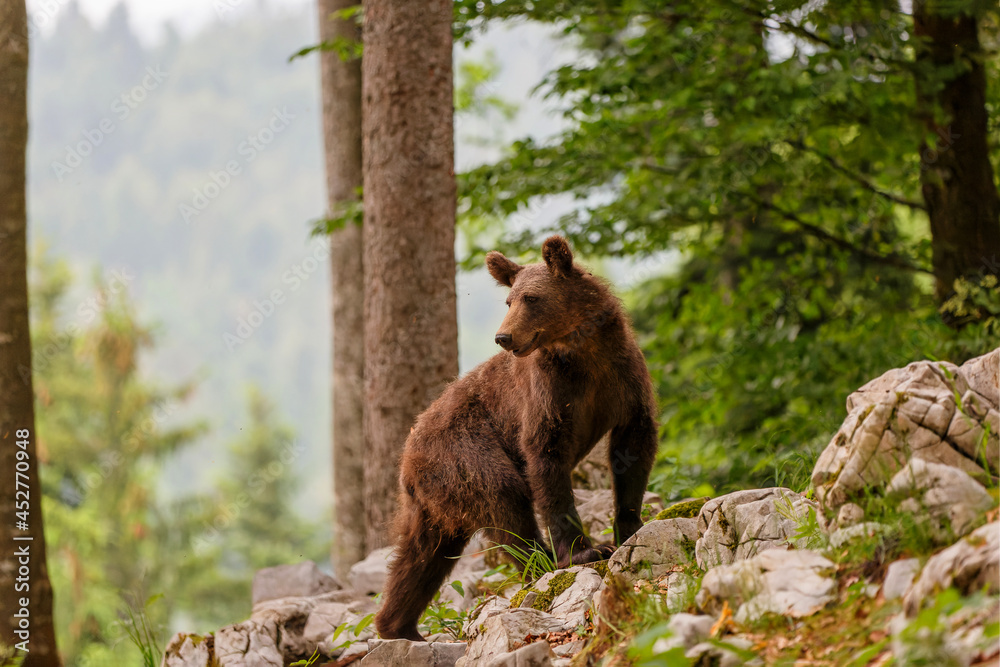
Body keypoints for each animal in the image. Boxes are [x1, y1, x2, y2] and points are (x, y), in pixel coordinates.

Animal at [373, 235, 659, 642]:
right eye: (509, 300)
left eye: (531, 298)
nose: (503, 337)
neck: (584, 353)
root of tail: (407, 453)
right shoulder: (548, 395)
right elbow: (547, 460)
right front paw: (584, 551)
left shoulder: (622, 379)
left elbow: (633, 446)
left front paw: (630, 526)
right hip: (465, 453)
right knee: (505, 499)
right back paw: (541, 561)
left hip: (436, 497)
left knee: (422, 554)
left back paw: (399, 626)